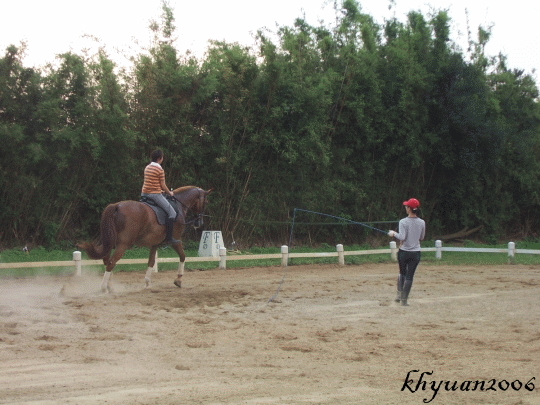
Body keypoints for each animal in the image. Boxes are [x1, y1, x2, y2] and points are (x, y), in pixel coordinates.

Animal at [77, 185, 212, 292]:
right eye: (206, 202)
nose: (199, 223)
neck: (178, 205)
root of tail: (117, 206)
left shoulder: (154, 244)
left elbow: (151, 262)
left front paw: (147, 283)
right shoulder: (176, 240)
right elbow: (183, 256)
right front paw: (178, 280)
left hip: (111, 242)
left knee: (106, 260)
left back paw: (110, 285)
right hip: (123, 244)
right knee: (111, 263)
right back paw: (104, 288)